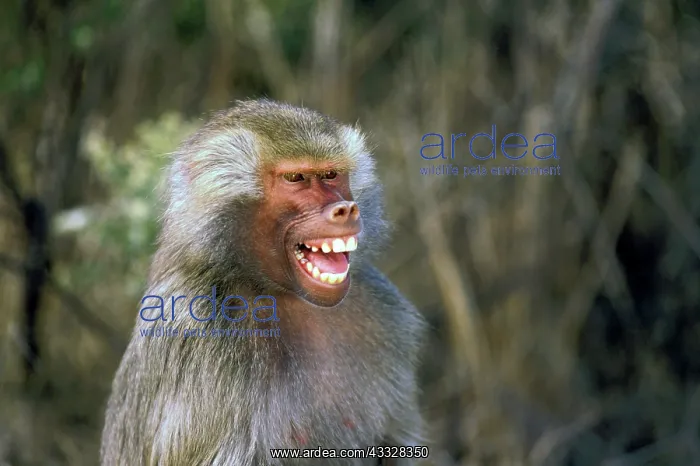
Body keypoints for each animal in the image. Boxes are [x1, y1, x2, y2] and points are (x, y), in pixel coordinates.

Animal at [100, 99, 427, 466]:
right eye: (296, 178)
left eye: (331, 174)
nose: (345, 209)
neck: (269, 288)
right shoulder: (204, 337)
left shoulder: (383, 309)